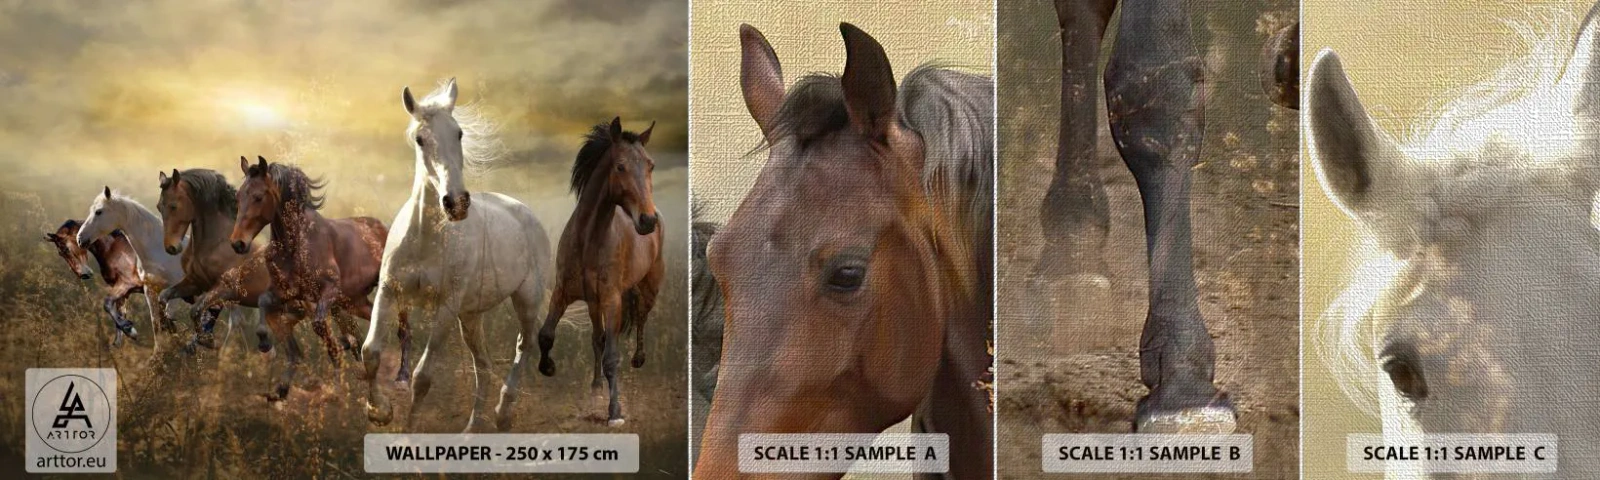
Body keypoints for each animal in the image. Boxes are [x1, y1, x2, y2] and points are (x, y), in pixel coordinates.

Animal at [155, 167, 263, 352]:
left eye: (174, 206)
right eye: (158, 207)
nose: (171, 248)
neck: (216, 242)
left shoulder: (223, 289)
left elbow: (196, 310)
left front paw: (207, 340)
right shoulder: (196, 283)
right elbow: (163, 297)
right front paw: (169, 325)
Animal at [231, 156, 386, 401]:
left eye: (258, 197)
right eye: (238, 197)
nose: (238, 243)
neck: (295, 245)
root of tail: (381, 226)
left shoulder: (328, 291)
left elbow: (321, 328)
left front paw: (338, 384)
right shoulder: (286, 293)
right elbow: (265, 304)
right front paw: (276, 371)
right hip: (353, 301)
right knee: (368, 320)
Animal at [360, 79, 552, 433]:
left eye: (459, 133)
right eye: (420, 139)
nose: (457, 203)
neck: (426, 239)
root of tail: (525, 212)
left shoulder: (446, 307)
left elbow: (422, 377)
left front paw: (407, 436)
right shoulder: (389, 291)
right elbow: (370, 352)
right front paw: (379, 411)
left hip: (526, 300)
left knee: (525, 345)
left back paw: (503, 412)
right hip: (471, 316)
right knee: (484, 367)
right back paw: (470, 432)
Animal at [534, 117, 665, 427]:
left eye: (651, 165)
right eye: (620, 166)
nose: (647, 220)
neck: (589, 240)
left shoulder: (612, 300)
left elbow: (611, 357)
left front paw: (615, 412)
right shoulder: (563, 293)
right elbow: (546, 335)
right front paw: (548, 367)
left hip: (648, 287)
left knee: (641, 317)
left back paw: (638, 359)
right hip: (594, 304)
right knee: (597, 339)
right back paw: (595, 387)